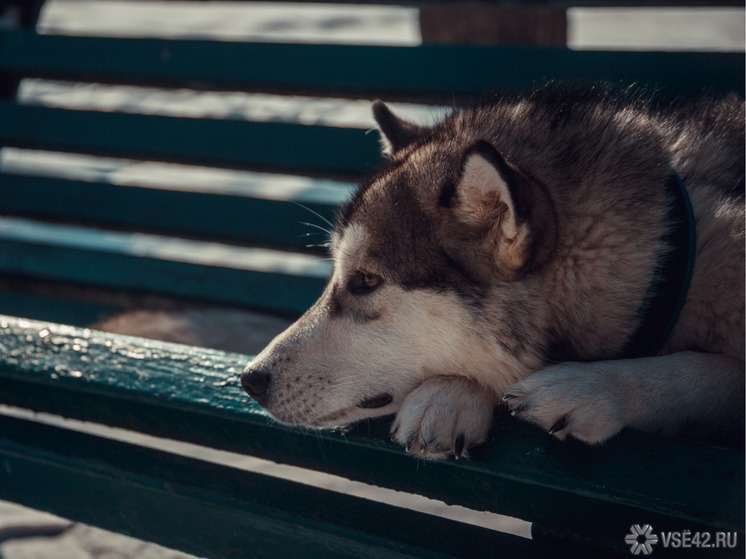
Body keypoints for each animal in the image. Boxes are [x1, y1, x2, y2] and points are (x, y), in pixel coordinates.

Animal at [241, 84, 740, 460]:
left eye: (366, 281)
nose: (250, 380)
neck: (669, 252)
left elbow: (705, 371)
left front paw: (589, 386)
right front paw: (450, 395)